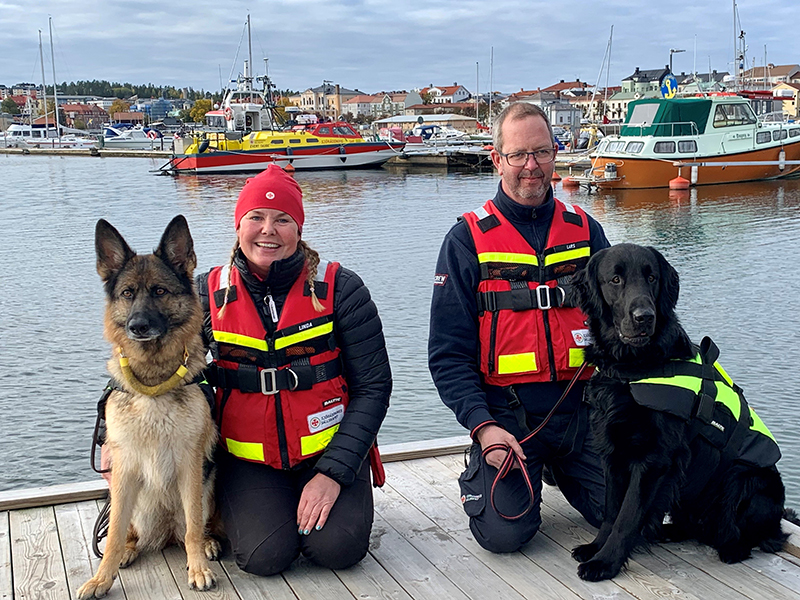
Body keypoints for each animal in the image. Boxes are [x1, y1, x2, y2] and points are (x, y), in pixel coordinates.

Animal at [78, 216, 219, 600]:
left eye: (159, 291)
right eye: (128, 293)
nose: (138, 326)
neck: (155, 383)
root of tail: (166, 531)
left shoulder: (190, 465)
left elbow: (193, 527)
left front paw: (198, 568)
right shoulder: (123, 469)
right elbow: (112, 536)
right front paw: (101, 578)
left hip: (207, 487)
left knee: (194, 527)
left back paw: (208, 544)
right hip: (124, 497)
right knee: (125, 531)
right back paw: (128, 550)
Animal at [568, 243, 788, 580]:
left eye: (652, 277)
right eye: (615, 279)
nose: (644, 317)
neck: (633, 368)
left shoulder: (654, 458)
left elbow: (626, 515)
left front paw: (605, 562)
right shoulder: (613, 449)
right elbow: (611, 510)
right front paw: (595, 548)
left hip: (746, 479)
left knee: (753, 535)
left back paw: (730, 548)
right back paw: (668, 532)